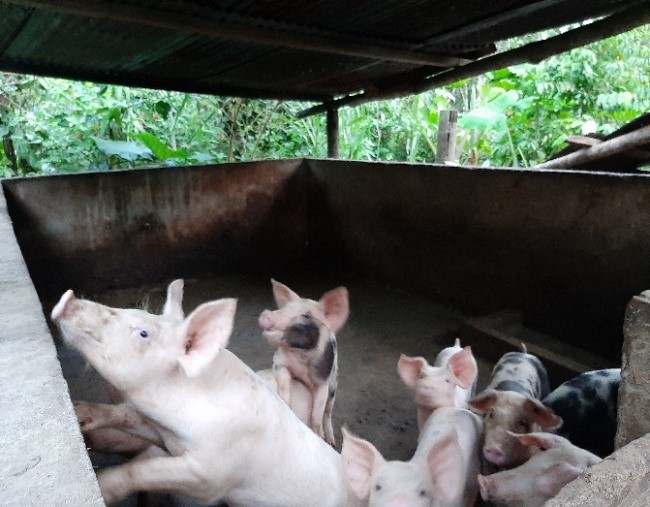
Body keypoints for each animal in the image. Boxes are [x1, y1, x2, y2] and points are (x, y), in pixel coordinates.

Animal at [50, 288, 354, 506]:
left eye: (143, 332)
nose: (67, 298)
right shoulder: (163, 433)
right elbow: (129, 416)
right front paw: (79, 414)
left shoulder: (210, 474)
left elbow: (142, 470)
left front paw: (101, 487)